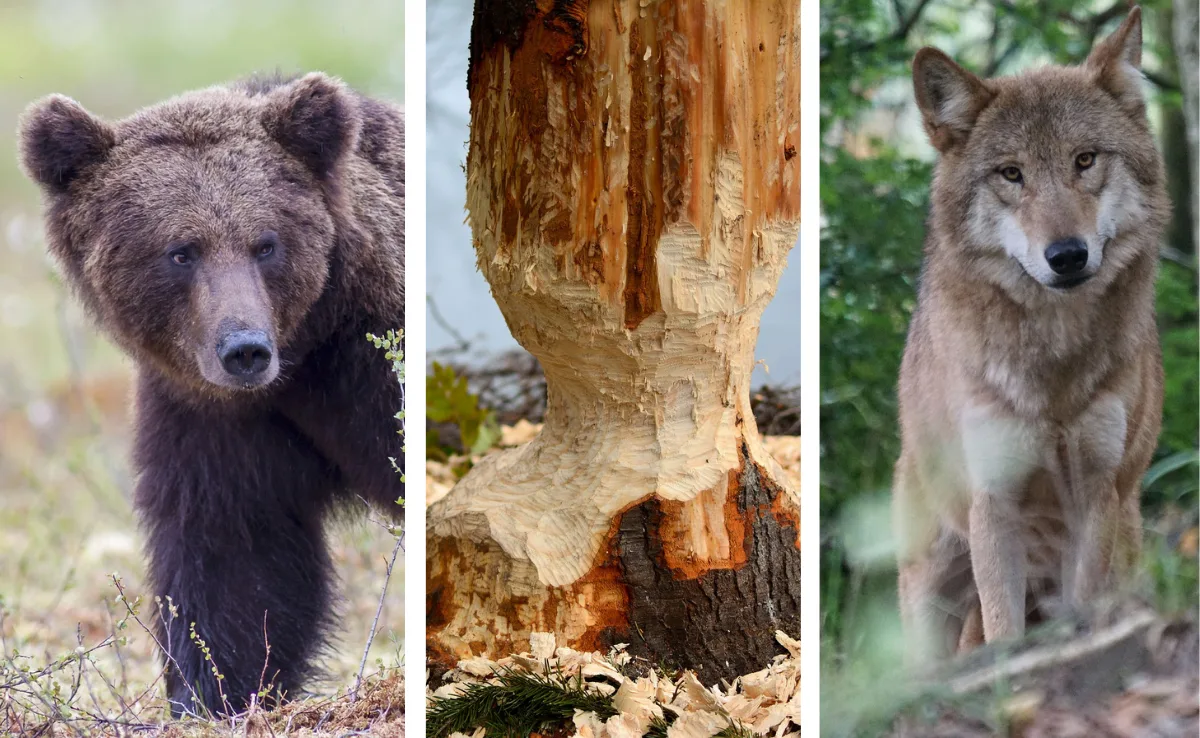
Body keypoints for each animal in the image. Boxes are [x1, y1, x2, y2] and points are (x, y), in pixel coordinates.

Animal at [17, 73, 404, 717]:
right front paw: (212, 693)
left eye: (266, 243)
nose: (244, 349)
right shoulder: (210, 415)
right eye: (181, 251)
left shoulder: (370, 361)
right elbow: (235, 553)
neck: (310, 346)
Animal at [892, 7, 1170, 660]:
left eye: (1085, 160)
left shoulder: (1095, 492)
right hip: (931, 584)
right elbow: (1003, 629)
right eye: (1012, 174)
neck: (1054, 368)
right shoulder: (994, 502)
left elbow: (1083, 606)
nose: (1066, 256)